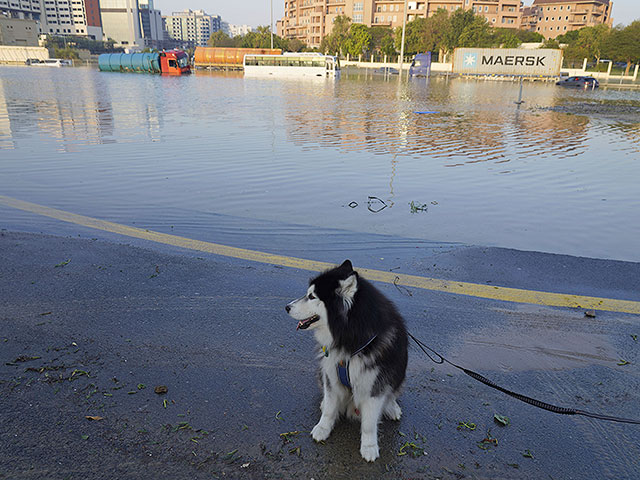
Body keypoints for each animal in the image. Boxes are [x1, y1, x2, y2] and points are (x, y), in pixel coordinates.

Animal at [286, 260, 408, 464]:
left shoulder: (374, 384)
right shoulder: (331, 372)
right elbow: (329, 407)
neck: (352, 338)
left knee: (391, 393)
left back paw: (391, 408)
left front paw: (369, 447)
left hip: (399, 372)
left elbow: (369, 423)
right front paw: (323, 427)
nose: (286, 307)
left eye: (311, 296)